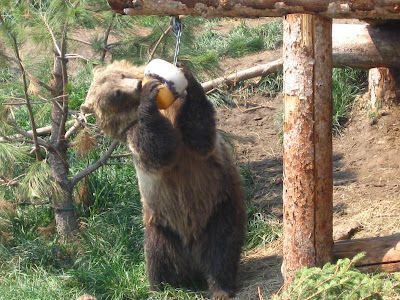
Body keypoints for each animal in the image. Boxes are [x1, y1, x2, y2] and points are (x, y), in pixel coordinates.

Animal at [80, 61, 247, 300]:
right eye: (116, 94)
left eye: (121, 75)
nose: (139, 85)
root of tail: (192, 251)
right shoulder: (134, 135)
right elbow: (159, 148)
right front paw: (150, 97)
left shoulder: (192, 134)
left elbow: (199, 132)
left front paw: (186, 75)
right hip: (161, 224)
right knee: (159, 258)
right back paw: (162, 287)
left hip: (219, 205)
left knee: (222, 247)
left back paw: (220, 287)